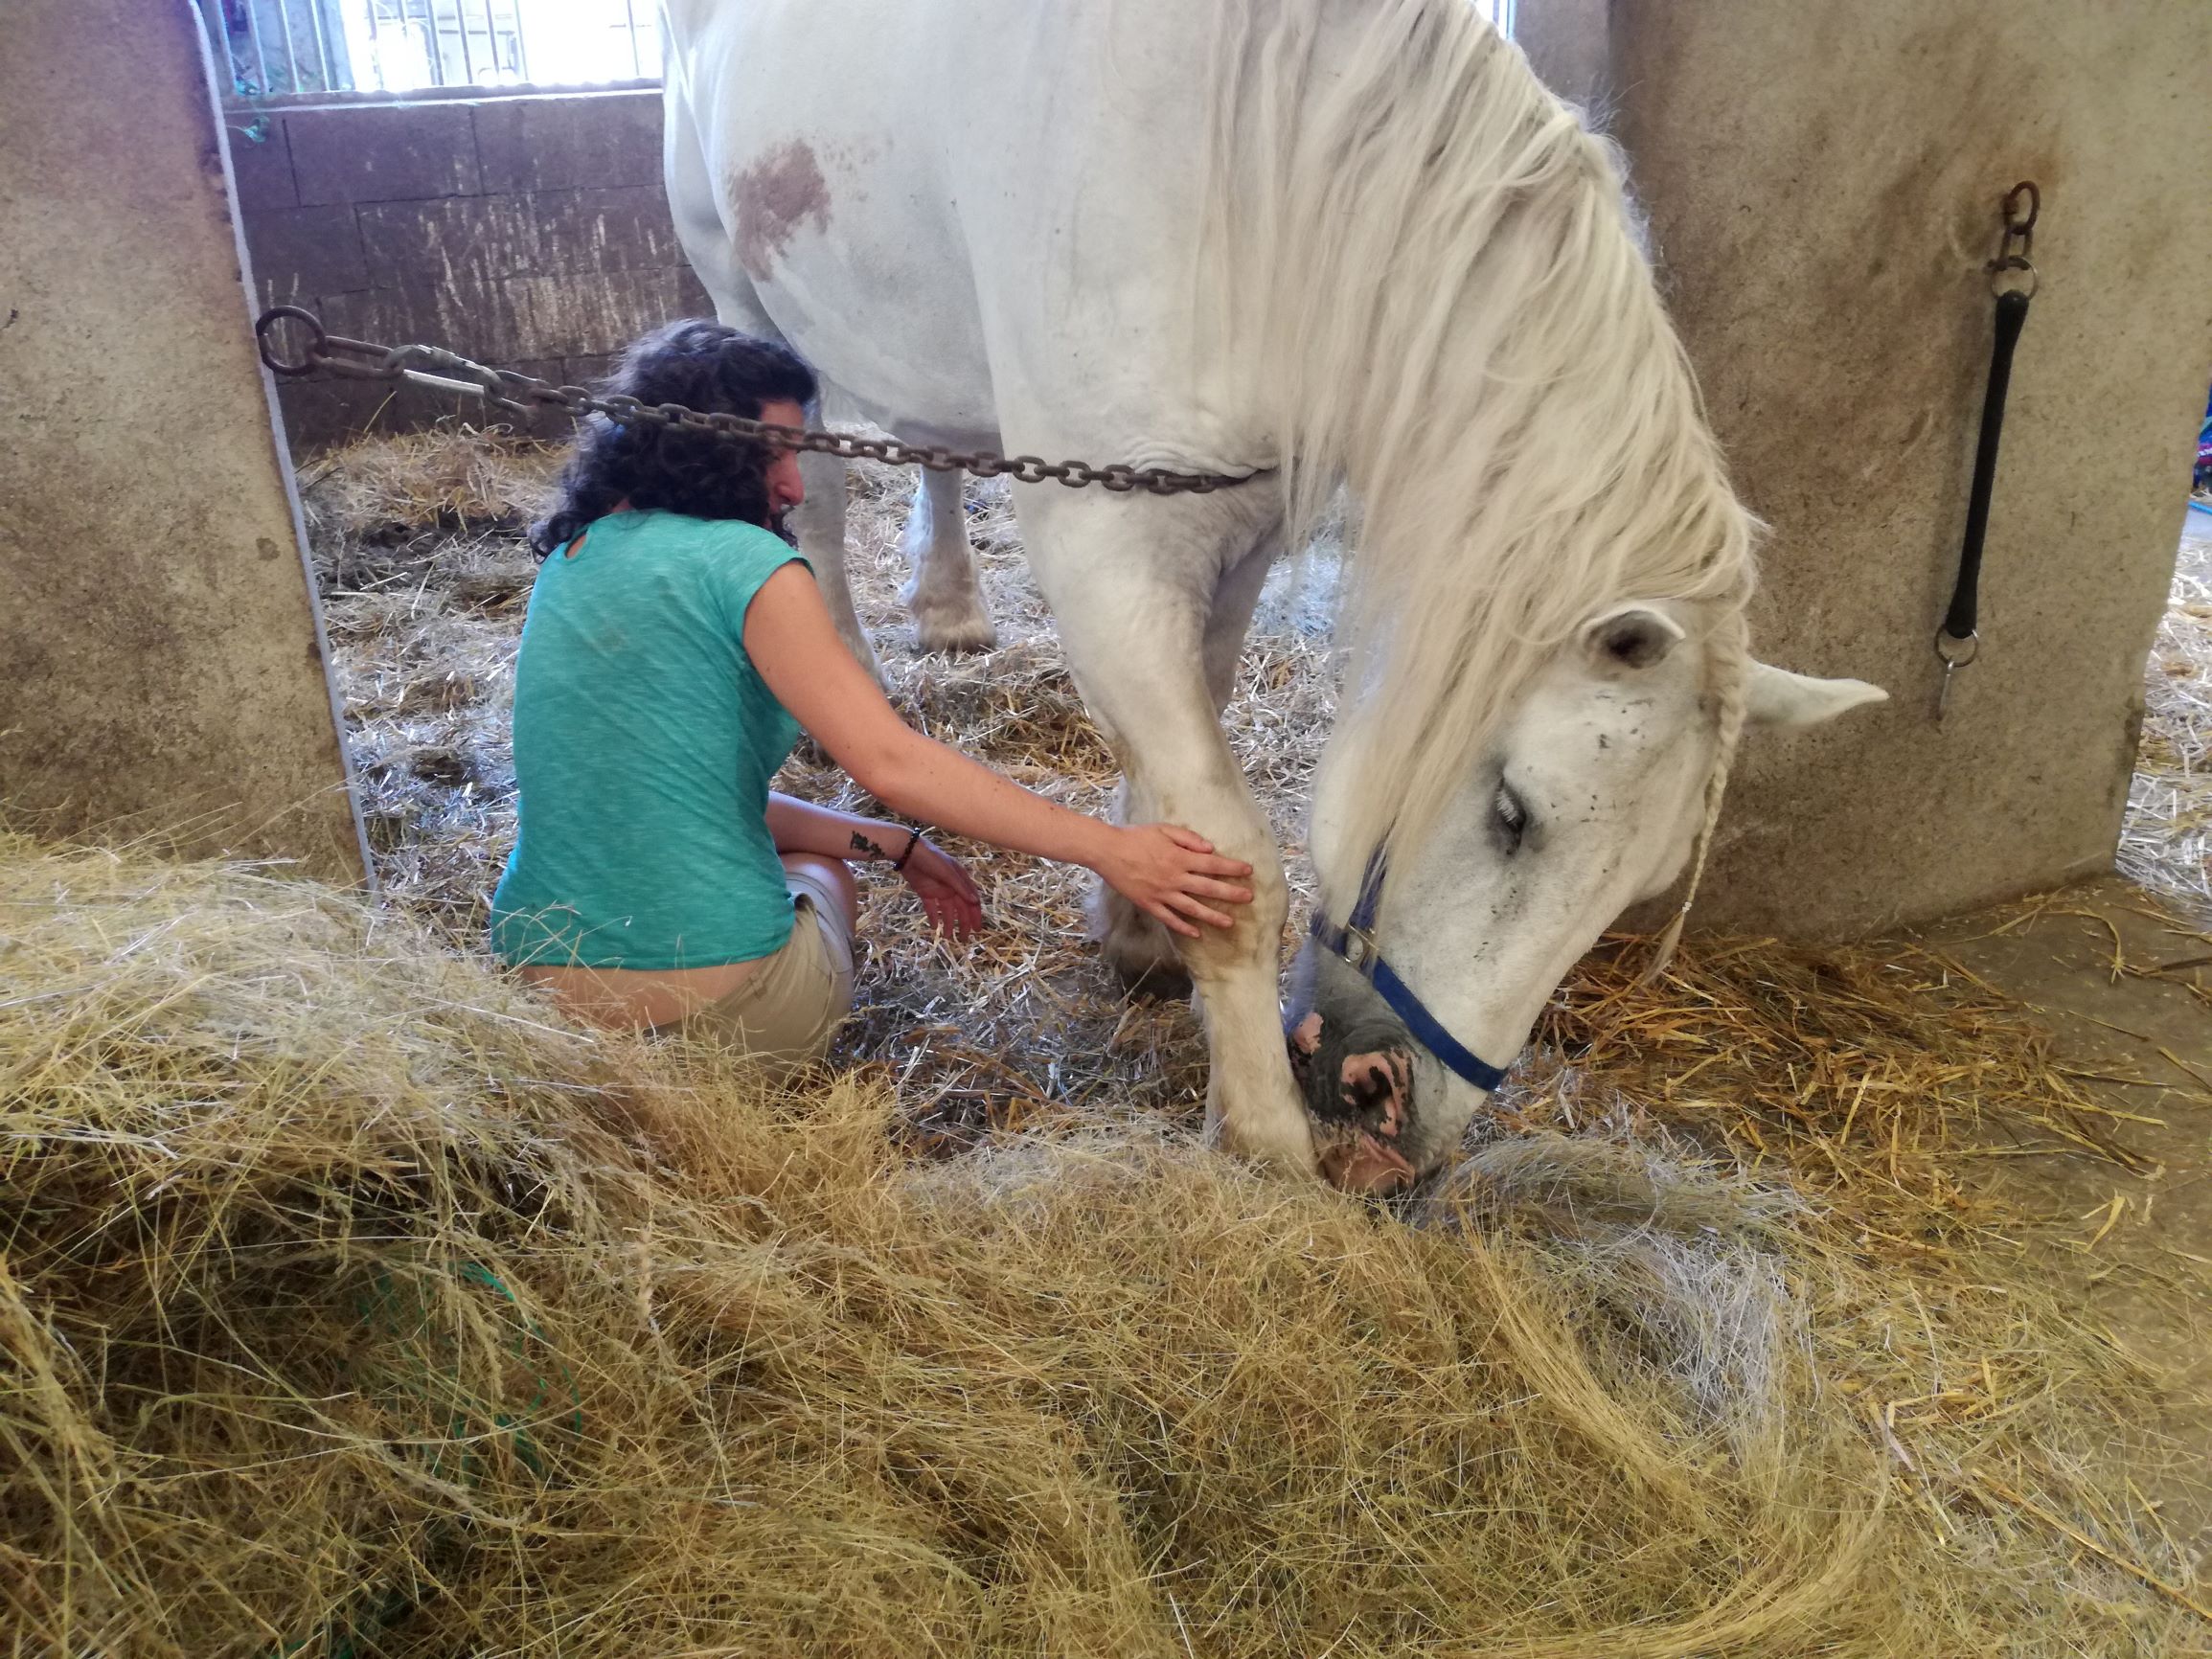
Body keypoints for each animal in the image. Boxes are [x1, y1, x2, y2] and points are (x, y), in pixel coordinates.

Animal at [654, 0, 1884, 1194]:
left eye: (1640, 885)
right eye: (1512, 813)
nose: (1393, 1123)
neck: (1236, 176)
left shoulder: (1228, 535)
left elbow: (1180, 753)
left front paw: (1142, 927)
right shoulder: (1103, 541)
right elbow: (1232, 847)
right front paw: (1259, 1130)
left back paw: (949, 607)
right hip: (744, 300)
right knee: (809, 502)